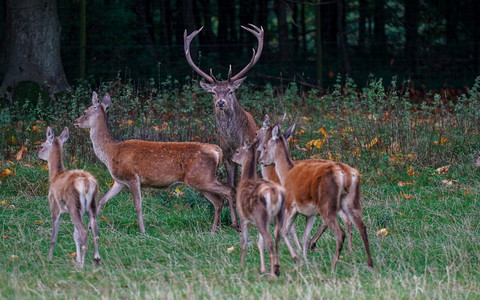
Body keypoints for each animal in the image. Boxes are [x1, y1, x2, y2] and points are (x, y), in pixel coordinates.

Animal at [38, 126, 101, 268]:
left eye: (42, 145)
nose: (38, 153)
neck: (55, 176)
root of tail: (86, 183)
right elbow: (74, 235)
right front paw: (76, 259)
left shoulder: (54, 206)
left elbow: (54, 236)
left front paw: (49, 258)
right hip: (93, 205)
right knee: (94, 228)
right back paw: (96, 259)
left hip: (73, 205)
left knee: (84, 231)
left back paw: (82, 265)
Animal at [74, 91, 238, 234]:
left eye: (84, 112)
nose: (75, 121)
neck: (111, 152)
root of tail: (217, 151)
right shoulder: (119, 181)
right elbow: (102, 200)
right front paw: (91, 227)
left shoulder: (132, 177)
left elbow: (138, 206)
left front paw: (142, 231)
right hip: (200, 179)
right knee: (218, 201)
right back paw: (213, 231)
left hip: (201, 177)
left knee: (229, 190)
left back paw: (235, 225)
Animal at [186, 23, 264, 189]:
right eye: (213, 92)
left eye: (230, 91)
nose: (220, 102)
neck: (235, 143)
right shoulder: (227, 157)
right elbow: (231, 184)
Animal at [232, 139, 294, 276]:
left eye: (237, 151)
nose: (231, 157)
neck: (246, 180)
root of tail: (274, 194)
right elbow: (260, 243)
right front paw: (262, 268)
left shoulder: (243, 217)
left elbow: (244, 243)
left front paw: (241, 266)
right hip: (278, 215)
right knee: (277, 238)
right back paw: (276, 267)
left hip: (260, 215)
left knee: (269, 240)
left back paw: (272, 272)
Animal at [258, 124, 376, 270]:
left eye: (265, 146)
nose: (260, 160)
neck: (286, 173)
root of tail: (346, 174)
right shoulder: (310, 214)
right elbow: (304, 236)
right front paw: (305, 260)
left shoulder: (290, 205)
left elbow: (284, 231)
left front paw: (296, 258)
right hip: (351, 202)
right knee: (362, 227)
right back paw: (369, 264)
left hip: (326, 204)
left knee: (340, 233)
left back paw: (333, 266)